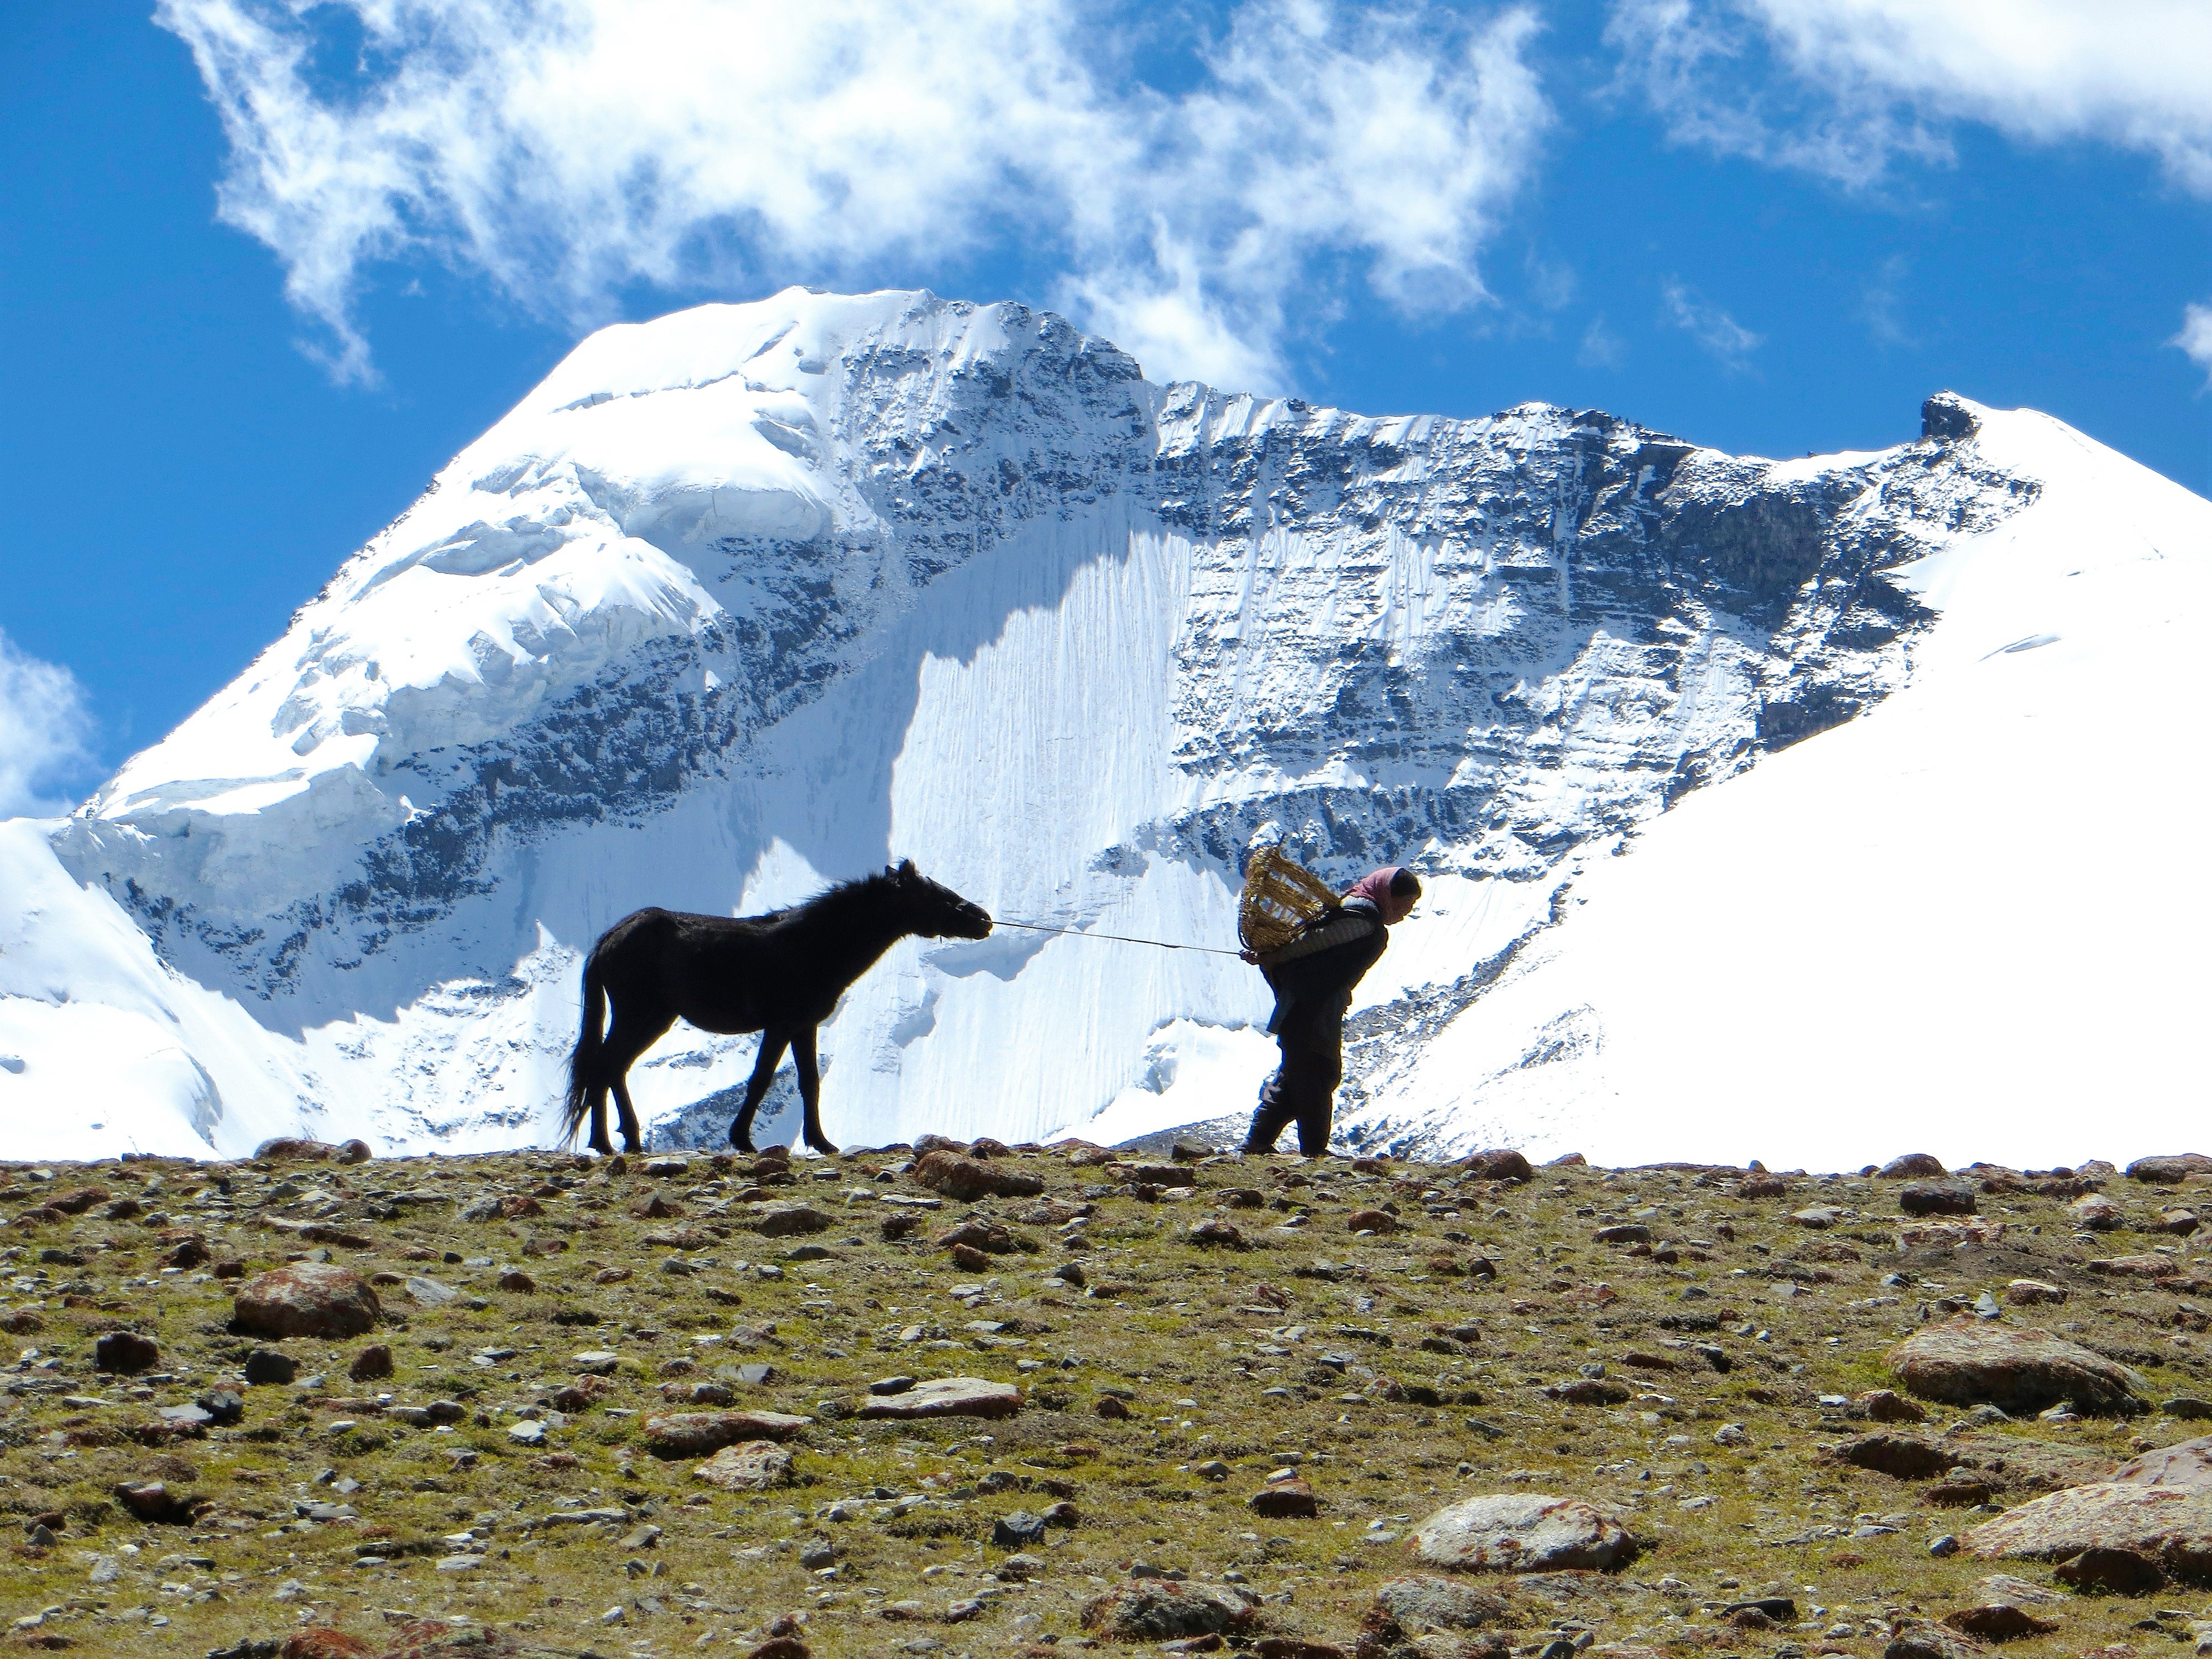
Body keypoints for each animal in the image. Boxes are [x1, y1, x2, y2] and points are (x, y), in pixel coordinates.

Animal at [562, 863, 995, 1159]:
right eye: (933, 895)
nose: (984, 919)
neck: (812, 945)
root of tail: (610, 939)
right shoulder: (781, 1026)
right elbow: (761, 1080)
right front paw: (743, 1140)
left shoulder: (804, 1027)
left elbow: (809, 1082)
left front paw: (821, 1142)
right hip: (640, 1015)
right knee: (606, 1065)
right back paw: (609, 1143)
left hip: (651, 1019)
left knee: (613, 1067)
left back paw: (621, 1141)